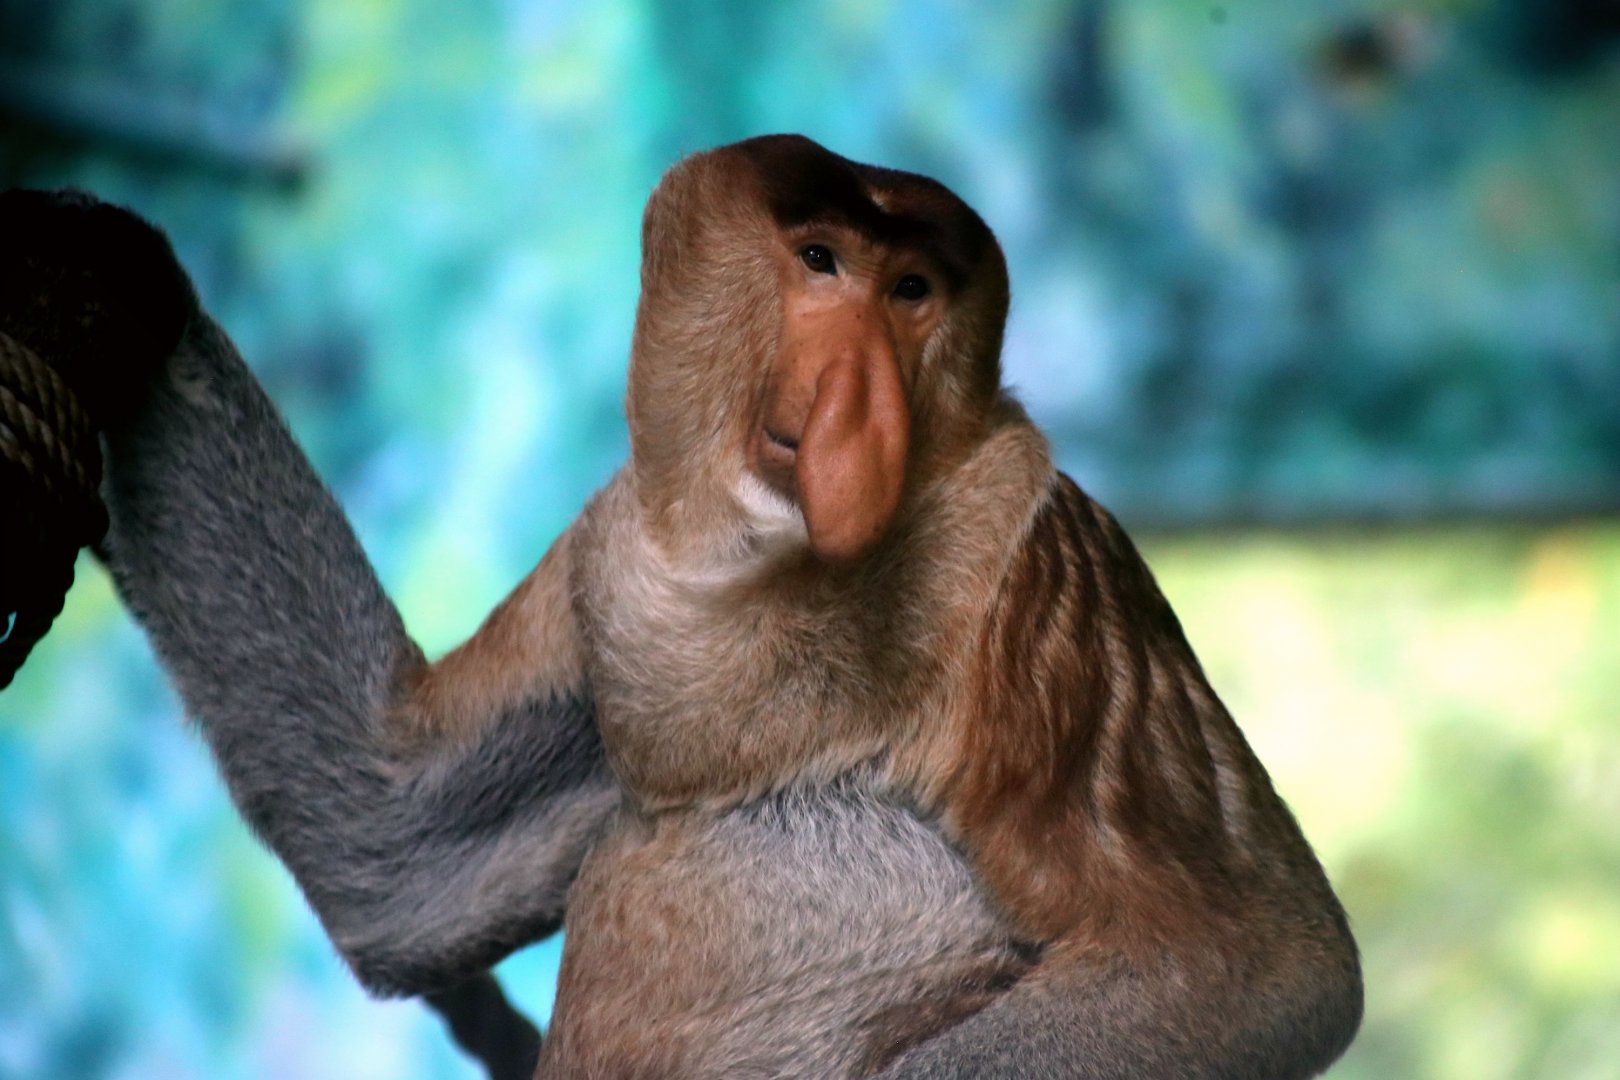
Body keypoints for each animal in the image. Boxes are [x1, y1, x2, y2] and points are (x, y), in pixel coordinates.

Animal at [8, 134, 1362, 1078]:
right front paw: (100, 278)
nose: (859, 411)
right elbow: (392, 846)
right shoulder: (609, 566)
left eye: (912, 289)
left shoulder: (1028, 559)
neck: (756, 572)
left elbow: (1258, 967)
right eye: (819, 261)